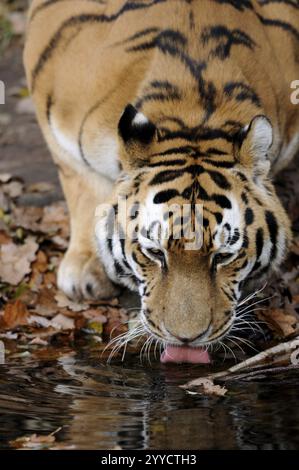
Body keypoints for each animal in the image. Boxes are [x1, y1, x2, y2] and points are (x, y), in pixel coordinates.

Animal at [24, 0, 299, 364]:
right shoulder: (56, 120)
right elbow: (80, 186)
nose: (187, 340)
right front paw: (85, 273)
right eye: (154, 253)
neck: (195, 115)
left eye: (224, 256)